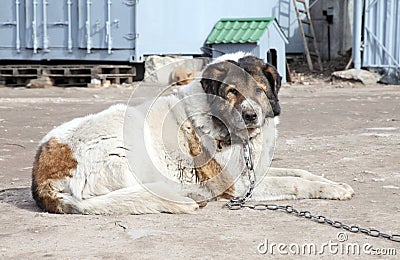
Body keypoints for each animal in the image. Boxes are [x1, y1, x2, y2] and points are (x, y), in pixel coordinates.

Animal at [32, 53, 354, 215]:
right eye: (232, 92)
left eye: (260, 91)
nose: (251, 115)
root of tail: (41, 179)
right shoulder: (237, 187)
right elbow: (293, 182)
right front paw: (331, 190)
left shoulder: (252, 172)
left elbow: (299, 173)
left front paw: (334, 183)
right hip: (128, 138)